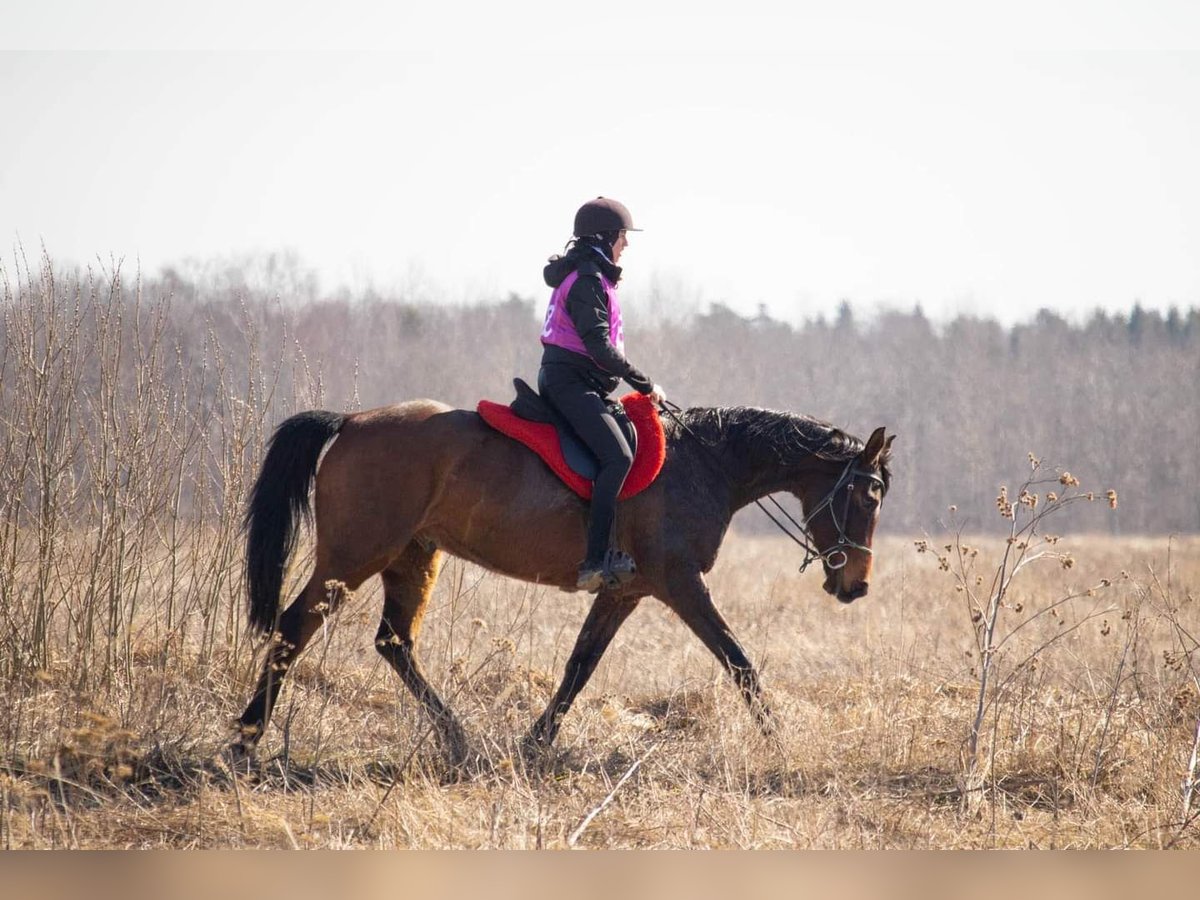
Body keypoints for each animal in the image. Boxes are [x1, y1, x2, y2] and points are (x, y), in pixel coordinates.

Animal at [231, 400, 892, 763]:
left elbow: (581, 664)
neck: (707, 461)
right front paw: (779, 741)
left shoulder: (625, 591)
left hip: (413, 558)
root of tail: (349, 421)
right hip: (352, 558)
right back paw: (246, 738)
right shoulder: (680, 585)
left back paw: (458, 738)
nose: (856, 586)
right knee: (294, 627)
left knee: (394, 642)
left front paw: (535, 743)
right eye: (869, 495)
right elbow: (739, 661)